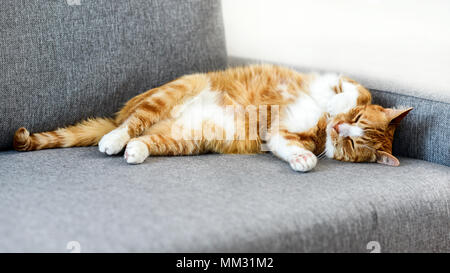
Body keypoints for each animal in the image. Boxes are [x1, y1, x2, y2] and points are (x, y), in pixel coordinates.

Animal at [12, 65, 412, 171]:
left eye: (352, 144)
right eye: (354, 119)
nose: (339, 127)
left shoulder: (280, 136)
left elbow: (289, 146)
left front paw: (303, 159)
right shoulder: (336, 80)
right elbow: (349, 89)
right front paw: (335, 104)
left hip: (189, 137)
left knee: (145, 138)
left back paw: (134, 151)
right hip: (173, 91)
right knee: (131, 123)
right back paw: (112, 139)